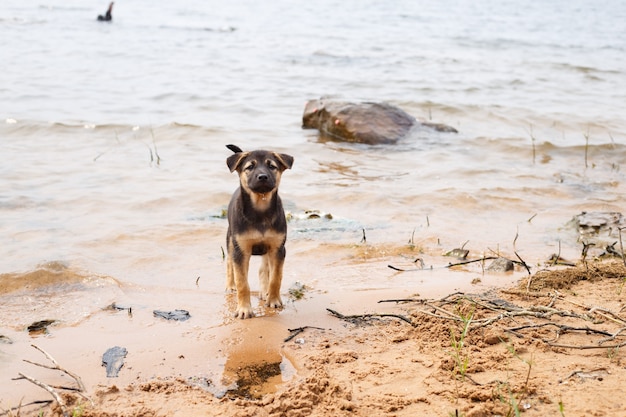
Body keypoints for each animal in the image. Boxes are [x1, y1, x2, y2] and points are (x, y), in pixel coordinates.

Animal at [224, 144, 292, 318]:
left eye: (272, 166)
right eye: (250, 167)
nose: (262, 177)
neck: (260, 210)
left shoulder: (277, 249)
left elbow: (275, 278)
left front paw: (273, 300)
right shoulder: (241, 251)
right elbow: (242, 283)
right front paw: (244, 309)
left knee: (264, 269)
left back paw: (264, 291)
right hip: (230, 242)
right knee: (229, 264)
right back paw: (230, 286)